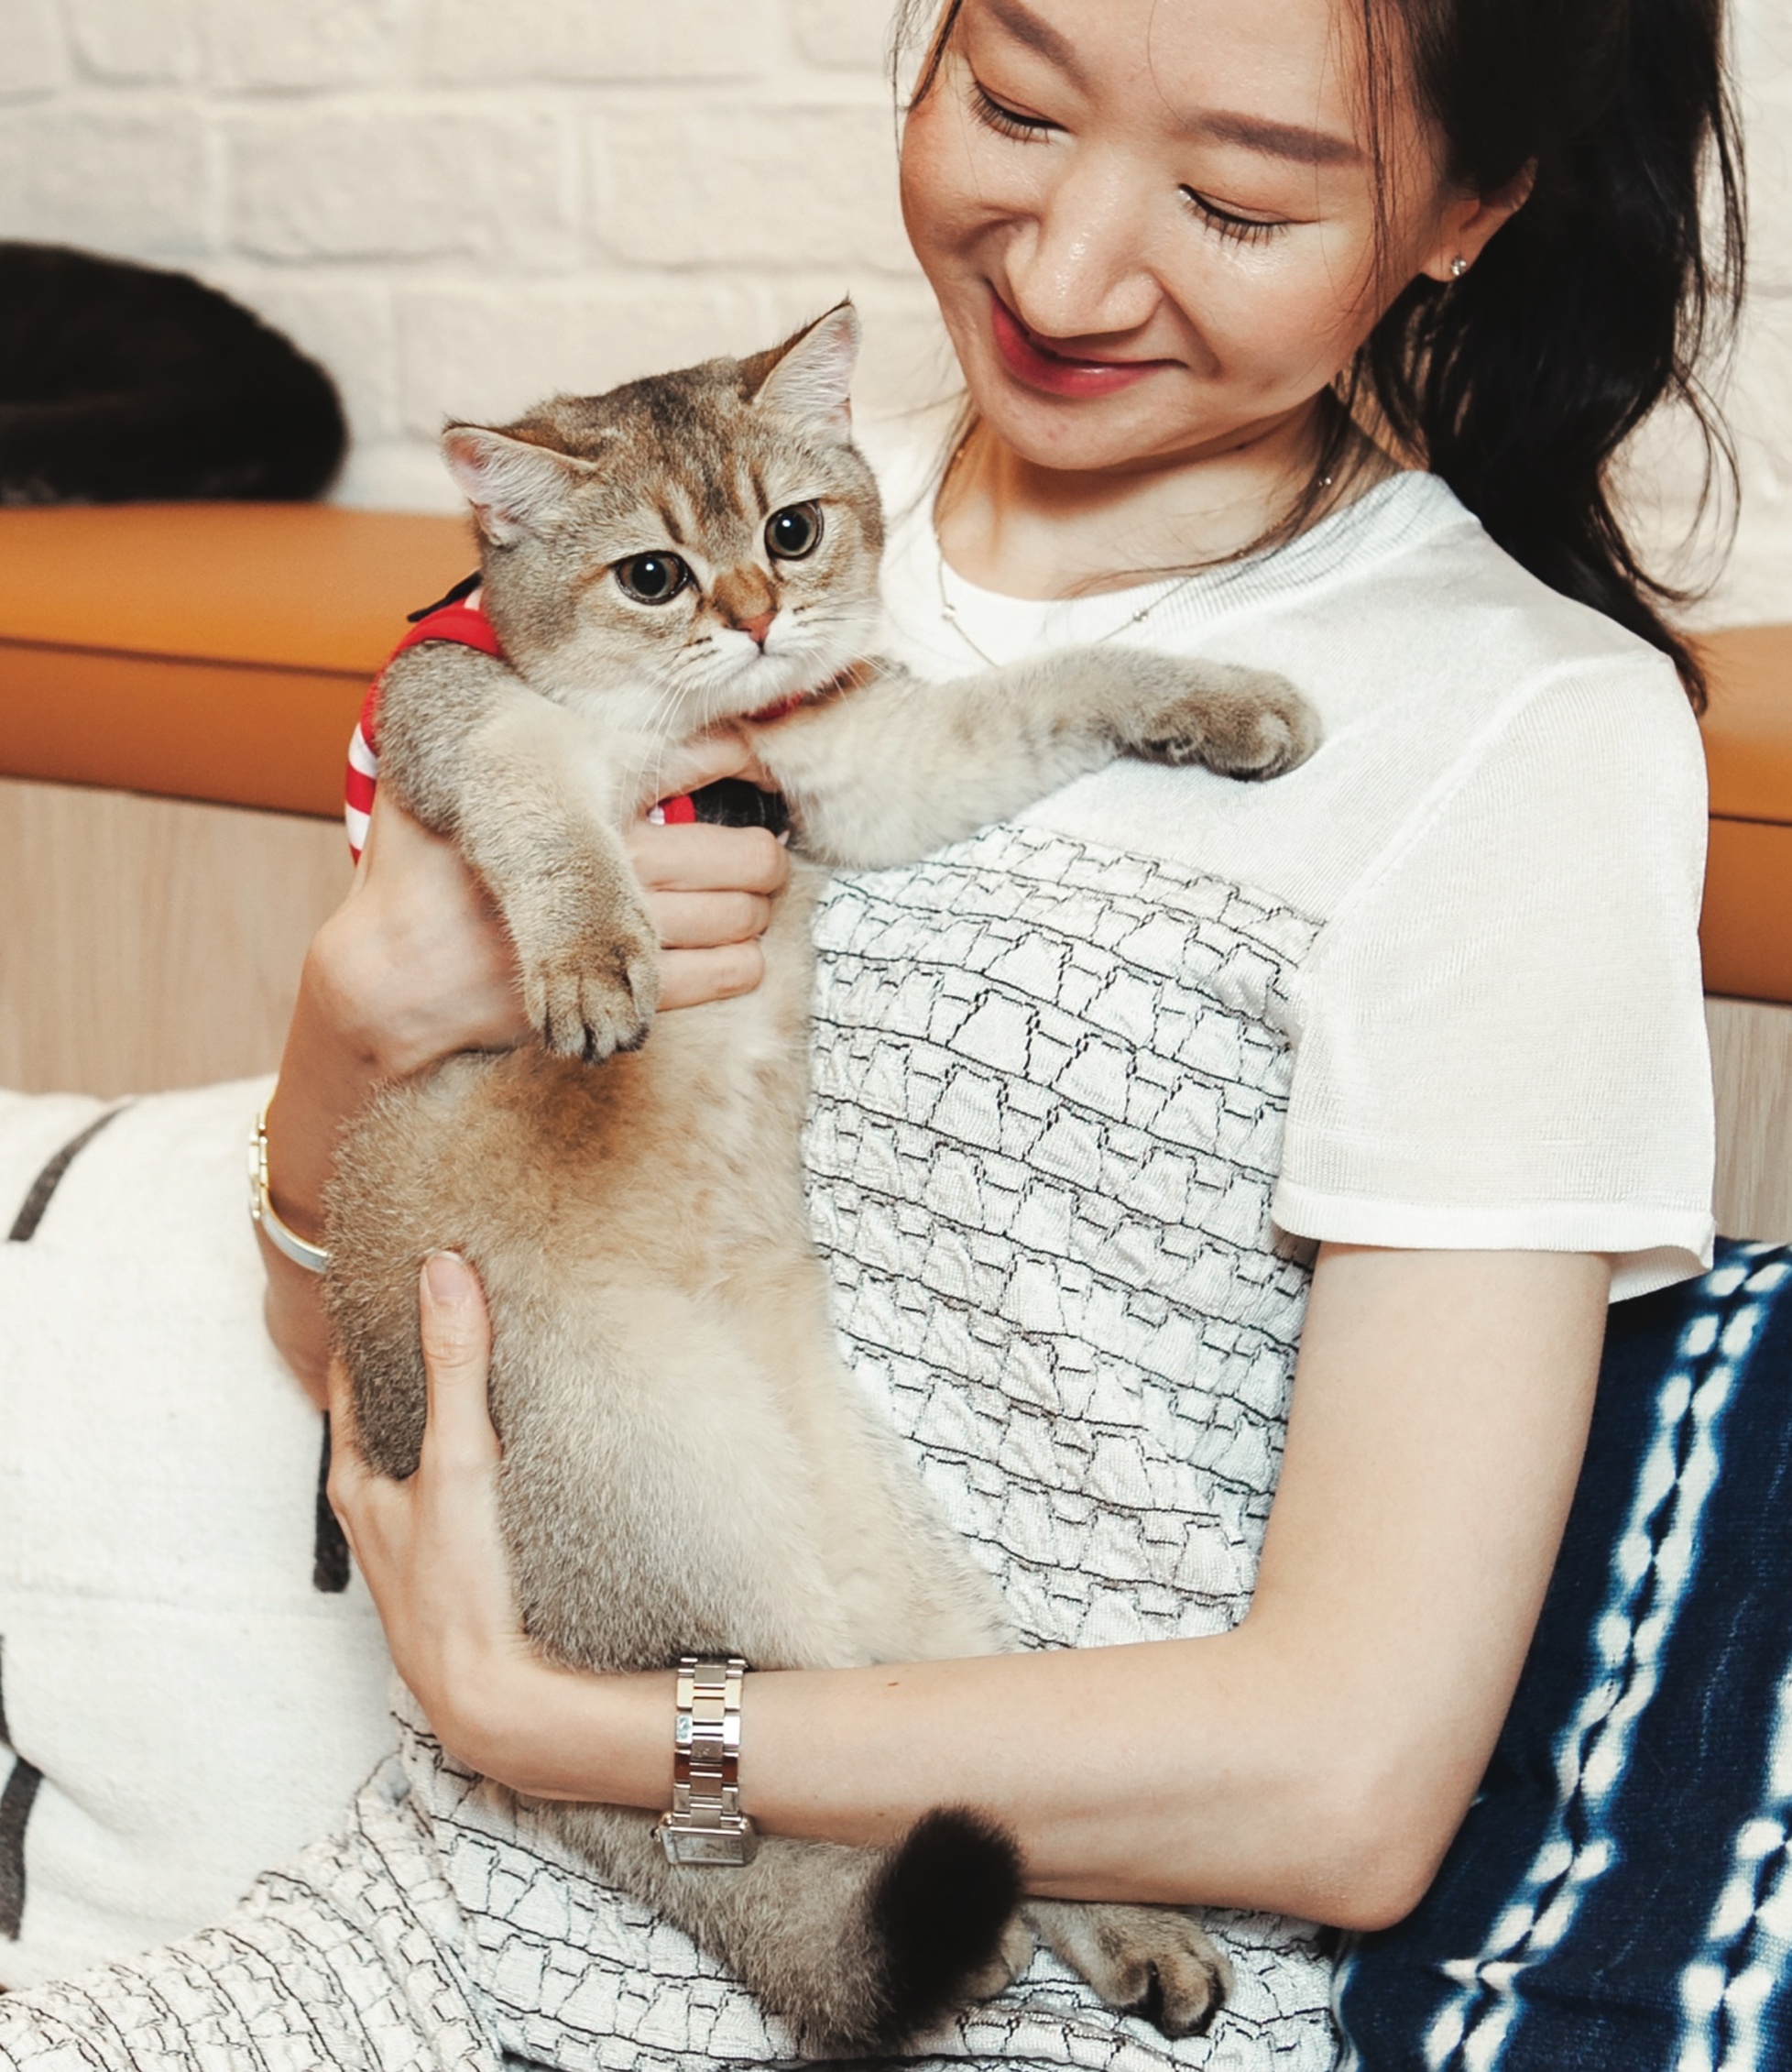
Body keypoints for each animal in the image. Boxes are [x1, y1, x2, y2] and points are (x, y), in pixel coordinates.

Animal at [321, 302, 1317, 2055]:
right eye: (654, 572)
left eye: (793, 529)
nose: (761, 614)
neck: (691, 744)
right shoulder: (462, 717)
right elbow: (547, 816)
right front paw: (593, 966)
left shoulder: (859, 762)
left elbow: (1057, 685)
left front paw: (1216, 698)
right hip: (690, 1509)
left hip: (886, 1569)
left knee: (934, 1751)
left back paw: (1139, 1940)